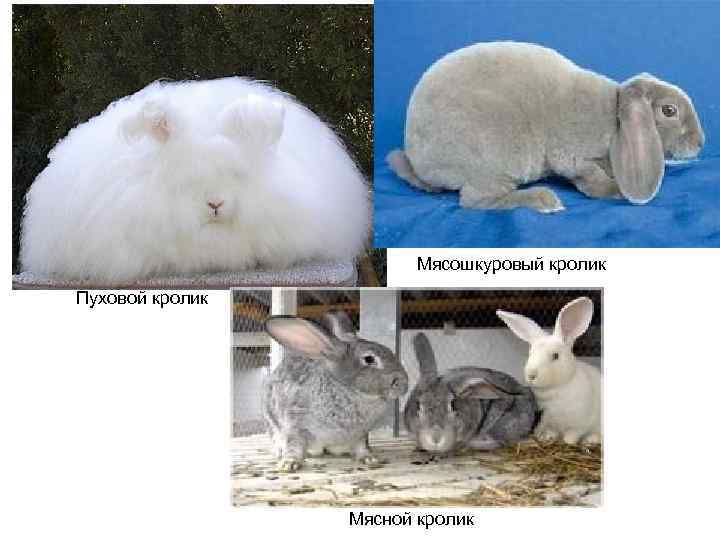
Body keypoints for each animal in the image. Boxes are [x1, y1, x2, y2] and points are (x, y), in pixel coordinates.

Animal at [262, 310, 409, 472]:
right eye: (369, 359)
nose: (403, 384)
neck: (348, 390)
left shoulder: (360, 434)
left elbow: (361, 447)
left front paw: (369, 459)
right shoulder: (296, 424)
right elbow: (294, 447)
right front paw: (289, 463)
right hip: (271, 420)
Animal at [387, 41, 705, 212]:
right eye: (669, 111)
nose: (700, 142)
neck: (614, 116)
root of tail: (419, 163)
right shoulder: (574, 157)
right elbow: (590, 179)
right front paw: (614, 189)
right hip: (495, 160)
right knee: (475, 200)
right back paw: (544, 199)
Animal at [497, 297, 601, 445]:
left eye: (555, 356)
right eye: (530, 354)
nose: (531, 375)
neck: (555, 390)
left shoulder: (580, 423)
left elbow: (572, 435)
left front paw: (568, 442)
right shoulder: (550, 423)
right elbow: (552, 432)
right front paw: (547, 438)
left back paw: (591, 439)